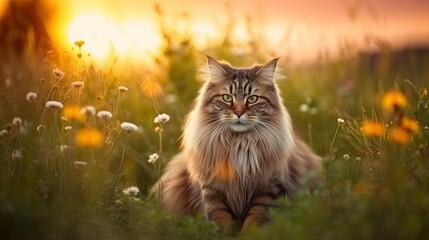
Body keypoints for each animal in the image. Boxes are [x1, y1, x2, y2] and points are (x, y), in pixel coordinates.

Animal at [151, 56, 320, 232]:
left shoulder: (267, 188)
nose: (239, 113)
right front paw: (223, 233)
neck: (238, 143)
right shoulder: (212, 190)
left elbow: (256, 218)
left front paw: (250, 233)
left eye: (252, 99)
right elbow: (220, 218)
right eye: (227, 98)